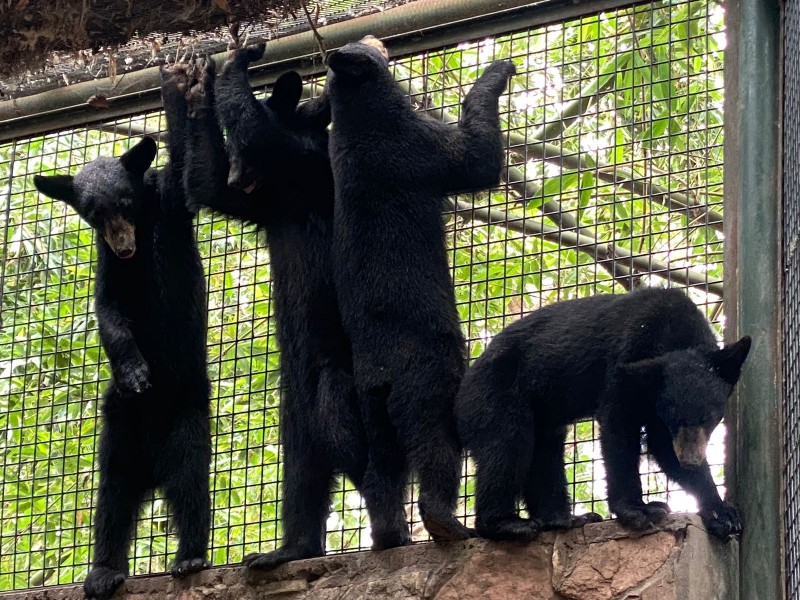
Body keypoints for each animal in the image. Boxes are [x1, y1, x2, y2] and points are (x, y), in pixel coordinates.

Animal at [324, 35, 516, 548]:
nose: (375, 39)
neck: (359, 122)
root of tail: (382, 373)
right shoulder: (421, 146)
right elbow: (476, 160)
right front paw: (498, 70)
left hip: (372, 409)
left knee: (382, 472)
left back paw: (392, 536)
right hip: (428, 380)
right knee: (436, 444)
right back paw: (446, 524)